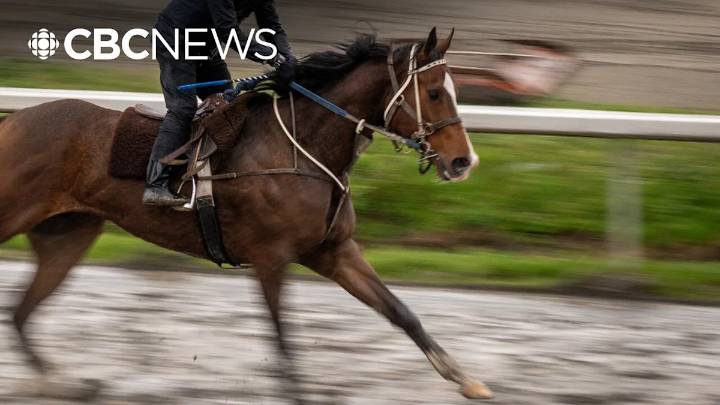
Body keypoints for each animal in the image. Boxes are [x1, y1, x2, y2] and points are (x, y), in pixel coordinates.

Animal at [0, 28, 491, 401]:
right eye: (433, 93)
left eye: (455, 91)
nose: (464, 162)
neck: (304, 148)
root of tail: (14, 120)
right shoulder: (270, 257)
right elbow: (283, 335)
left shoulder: (333, 251)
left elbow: (401, 312)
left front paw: (466, 380)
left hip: (67, 235)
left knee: (21, 312)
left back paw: (60, 382)